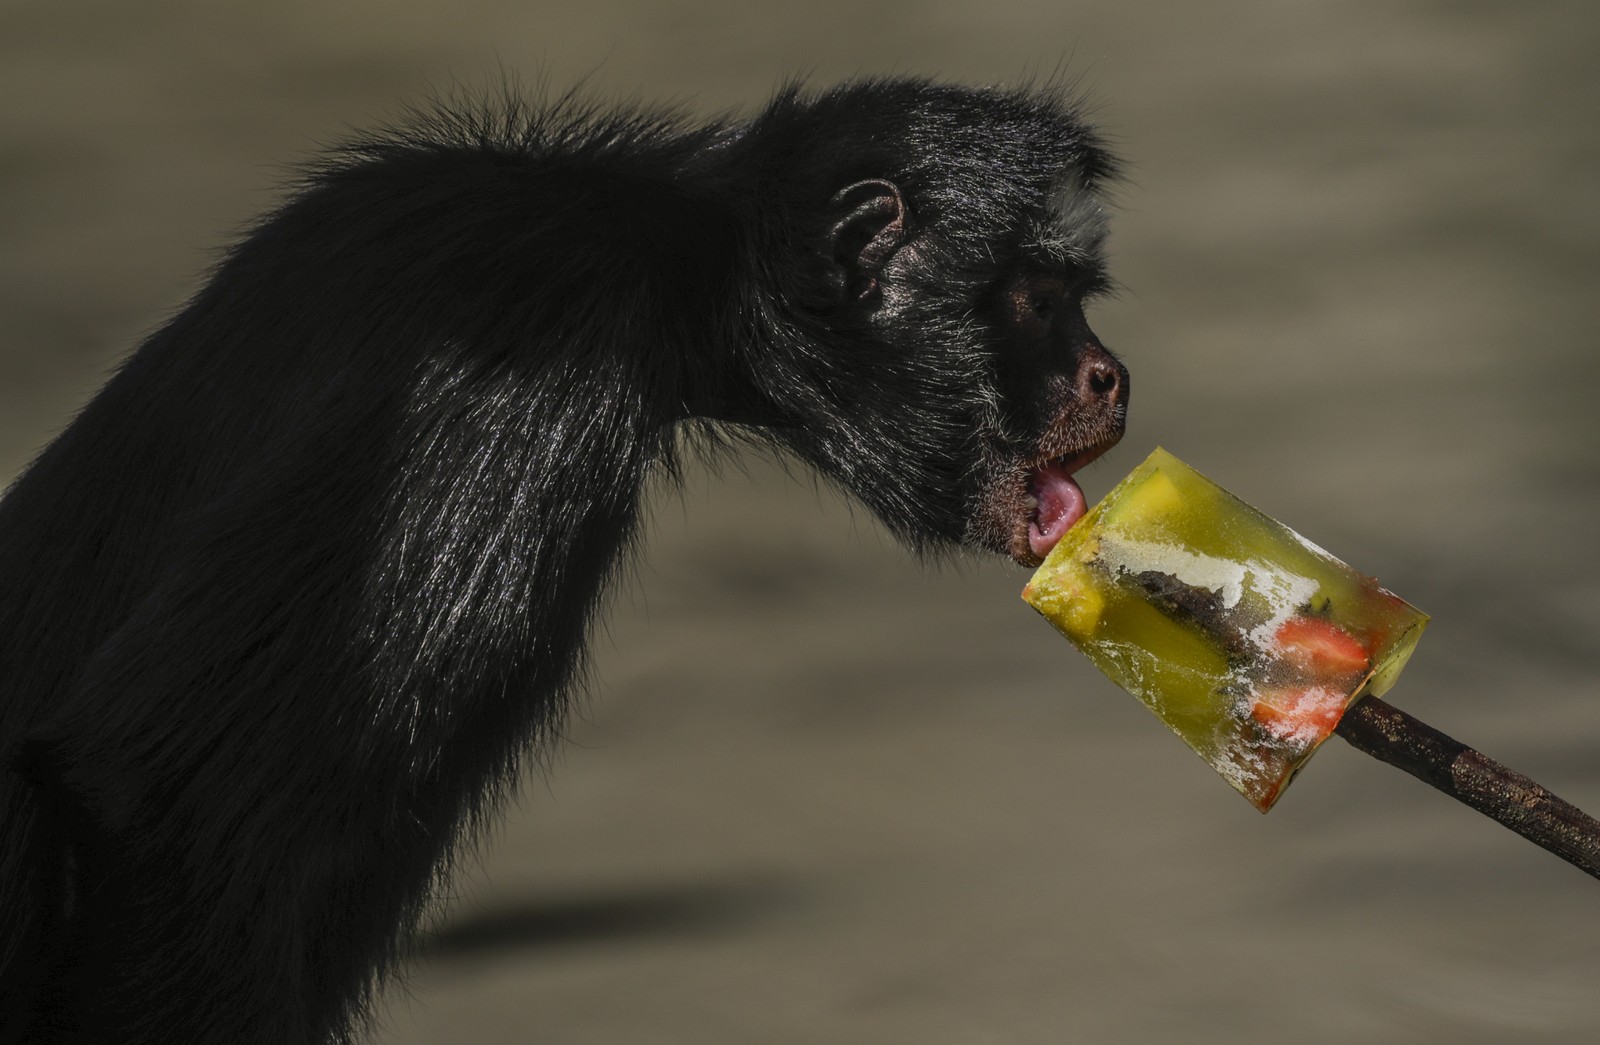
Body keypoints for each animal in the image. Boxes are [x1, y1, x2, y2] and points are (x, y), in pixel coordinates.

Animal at [0, 77, 1126, 1036]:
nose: (1109, 373)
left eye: (1079, 296)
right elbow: (158, 781)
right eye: (1037, 299)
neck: (665, 233)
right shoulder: (524, 351)